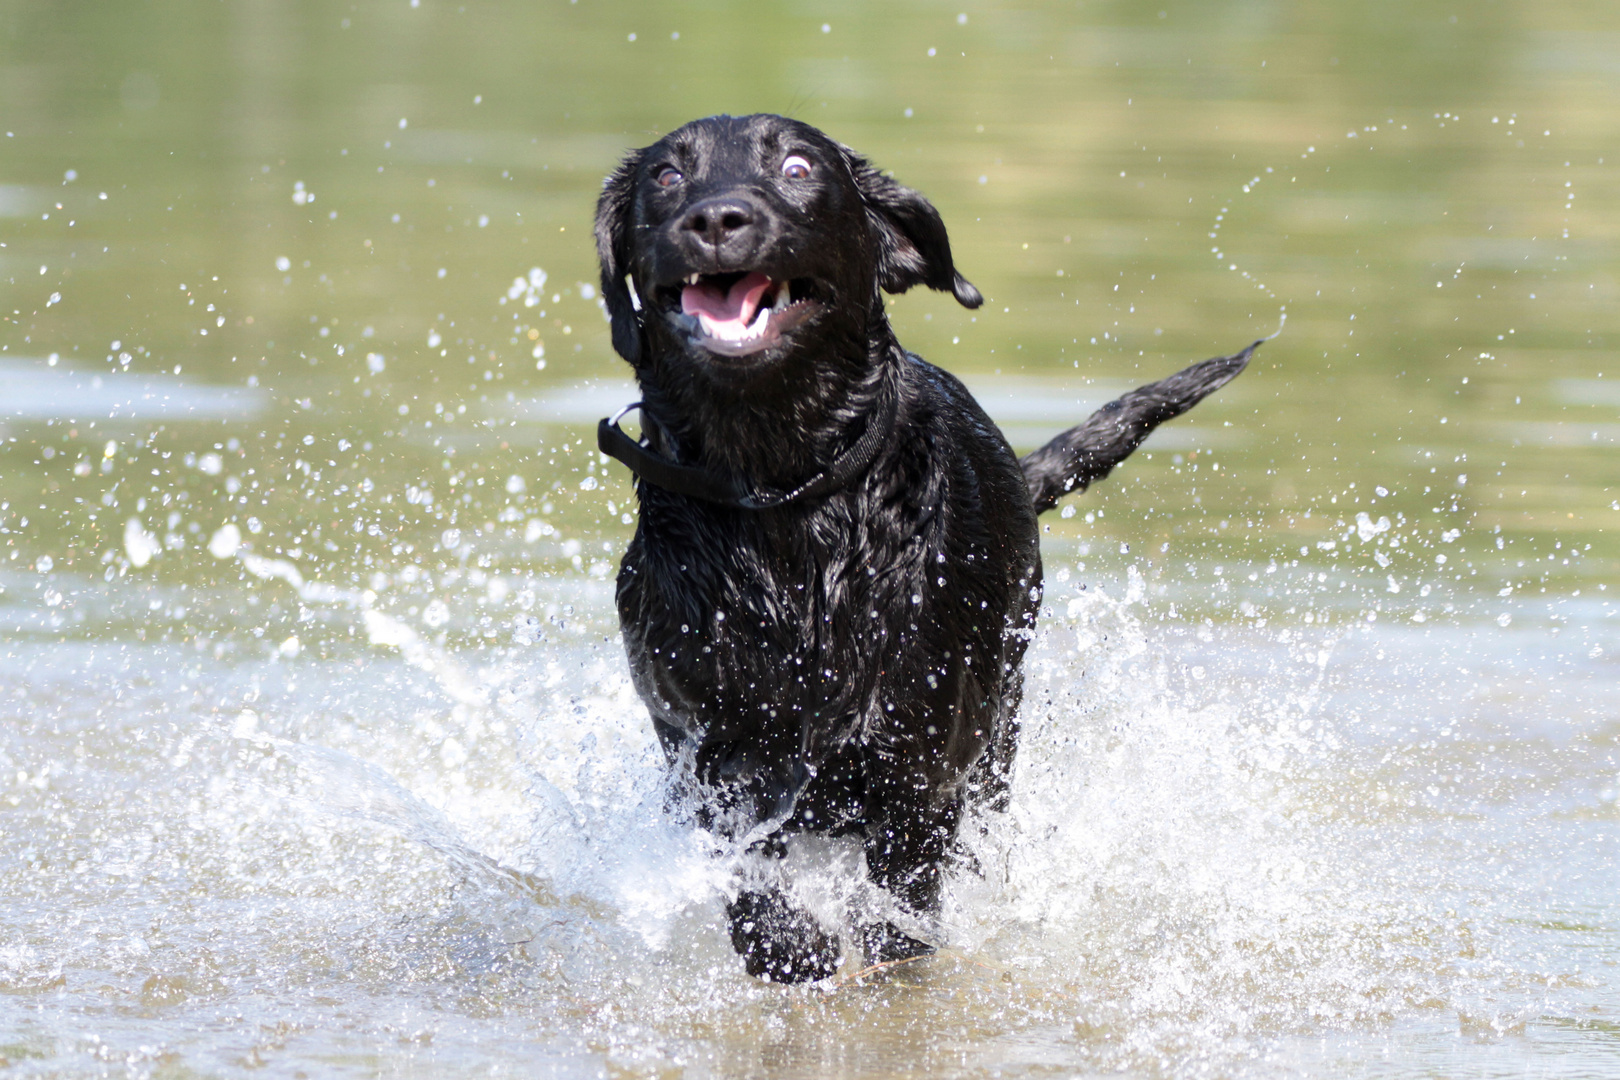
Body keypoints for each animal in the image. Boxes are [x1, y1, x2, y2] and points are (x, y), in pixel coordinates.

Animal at [596, 114, 1250, 984]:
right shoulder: (703, 758)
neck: (783, 508)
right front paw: (789, 943)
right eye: (667, 177)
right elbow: (749, 882)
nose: (716, 218)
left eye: (797, 167)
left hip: (999, 733)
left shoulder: (920, 781)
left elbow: (898, 922)